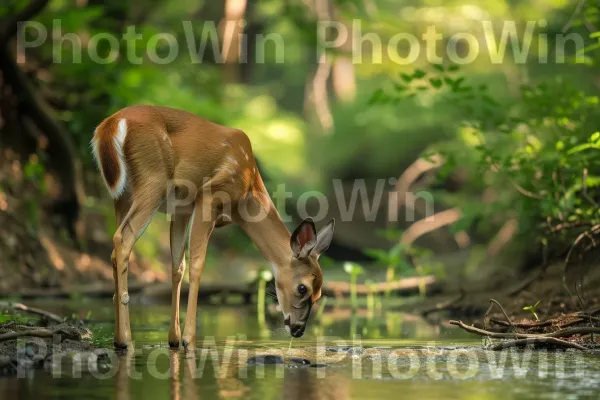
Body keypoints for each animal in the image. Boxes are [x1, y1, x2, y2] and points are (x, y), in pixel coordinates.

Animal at [90, 104, 332, 348]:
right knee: (123, 239)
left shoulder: (182, 207)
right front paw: (188, 339)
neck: (245, 197)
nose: (298, 330)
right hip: (153, 180)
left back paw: (118, 337)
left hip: (122, 196)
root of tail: (110, 124)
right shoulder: (208, 196)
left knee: (115, 246)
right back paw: (125, 340)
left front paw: (174, 338)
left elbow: (178, 266)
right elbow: (197, 265)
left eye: (319, 294)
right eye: (302, 288)